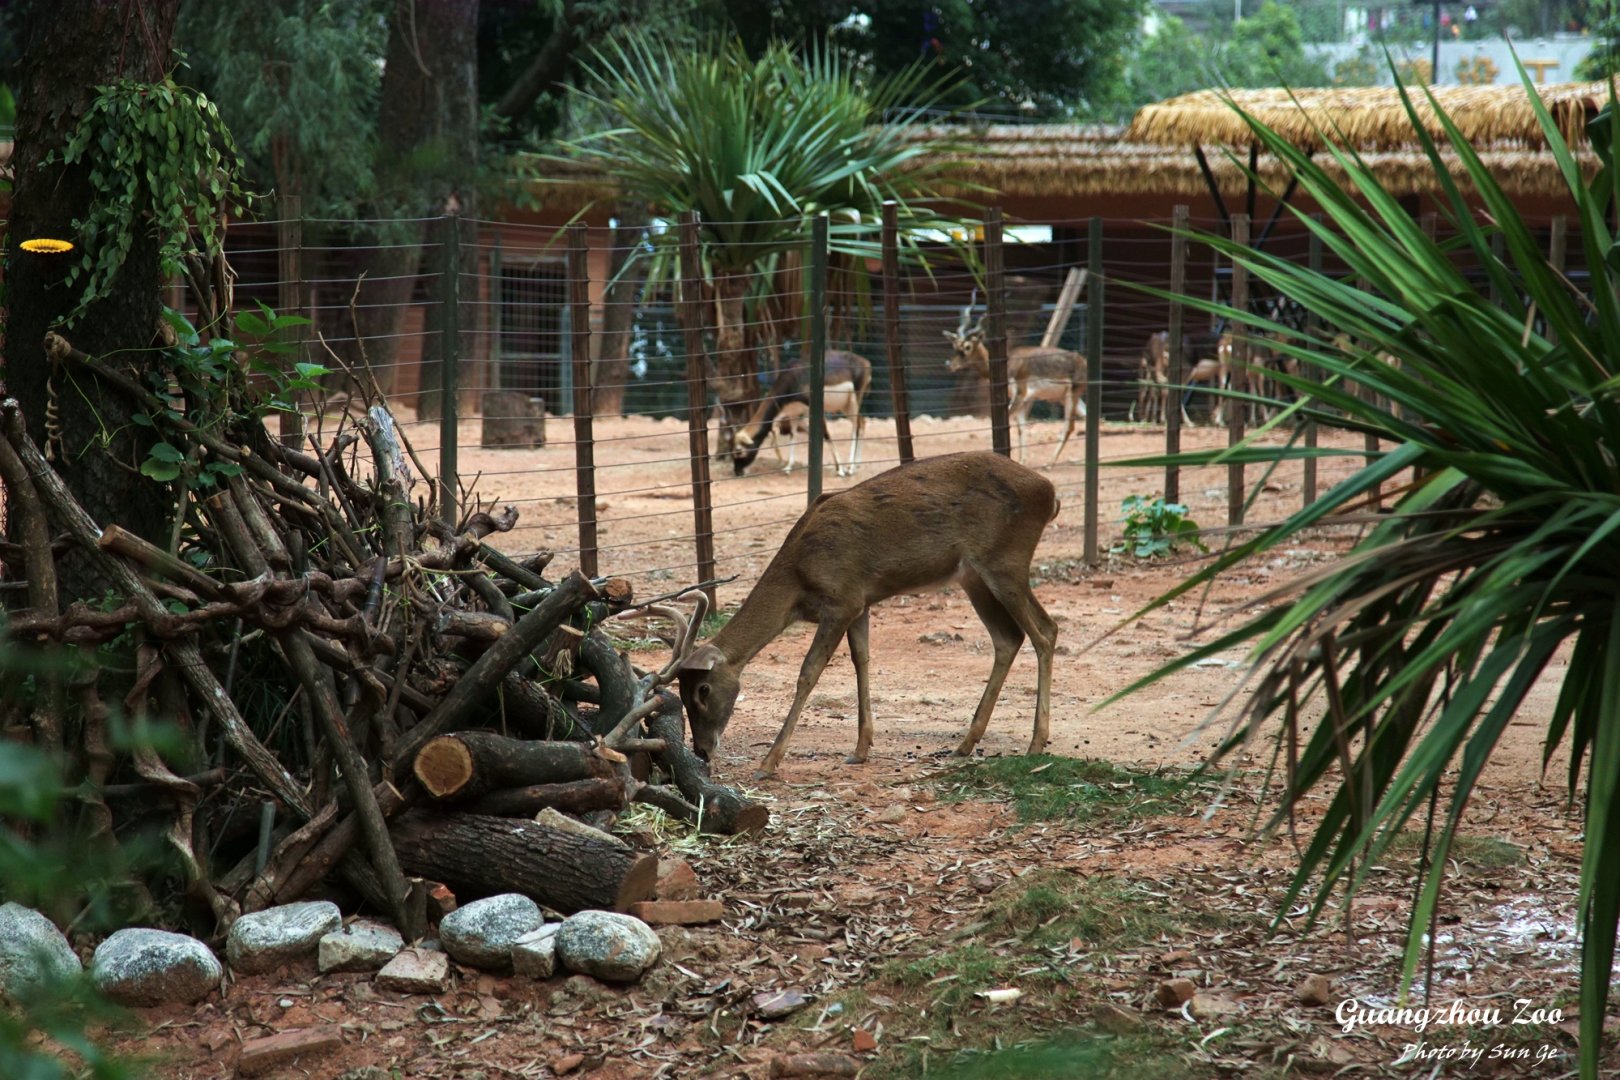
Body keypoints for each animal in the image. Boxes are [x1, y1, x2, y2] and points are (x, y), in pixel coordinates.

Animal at [678, 451, 1060, 779]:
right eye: (681, 692)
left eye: (703, 690)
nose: (702, 750)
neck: (798, 578)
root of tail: (1050, 493)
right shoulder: (859, 603)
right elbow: (861, 659)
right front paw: (860, 749)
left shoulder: (841, 599)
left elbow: (808, 672)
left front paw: (769, 762)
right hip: (973, 576)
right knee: (1009, 637)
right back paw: (965, 744)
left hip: (1005, 560)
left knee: (1045, 631)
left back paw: (1035, 743)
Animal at [732, 351, 872, 478]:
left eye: (739, 451)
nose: (738, 473)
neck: (791, 380)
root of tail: (866, 362)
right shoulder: (795, 413)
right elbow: (793, 436)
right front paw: (788, 467)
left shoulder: (814, 411)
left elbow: (826, 435)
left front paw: (840, 470)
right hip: (845, 407)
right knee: (862, 422)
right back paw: (856, 464)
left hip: (854, 401)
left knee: (856, 427)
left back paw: (850, 468)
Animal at [943, 303, 1086, 466]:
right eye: (954, 345)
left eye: (967, 347)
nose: (950, 365)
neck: (1008, 362)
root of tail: (1083, 361)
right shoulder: (1026, 399)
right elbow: (1021, 429)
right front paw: (1022, 460)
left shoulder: (1021, 393)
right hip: (1067, 397)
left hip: (1071, 395)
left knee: (1069, 427)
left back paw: (1049, 464)